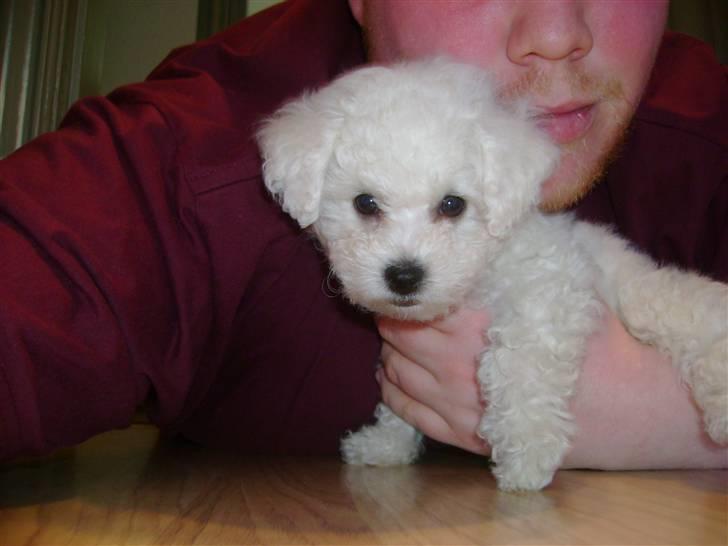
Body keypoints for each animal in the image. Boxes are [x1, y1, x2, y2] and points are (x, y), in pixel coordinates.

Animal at [256, 58, 728, 488]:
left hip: (645, 298)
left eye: (452, 205)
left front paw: (528, 453)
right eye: (365, 203)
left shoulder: (552, 288)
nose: (404, 276)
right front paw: (387, 442)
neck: (479, 272)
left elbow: (519, 362)